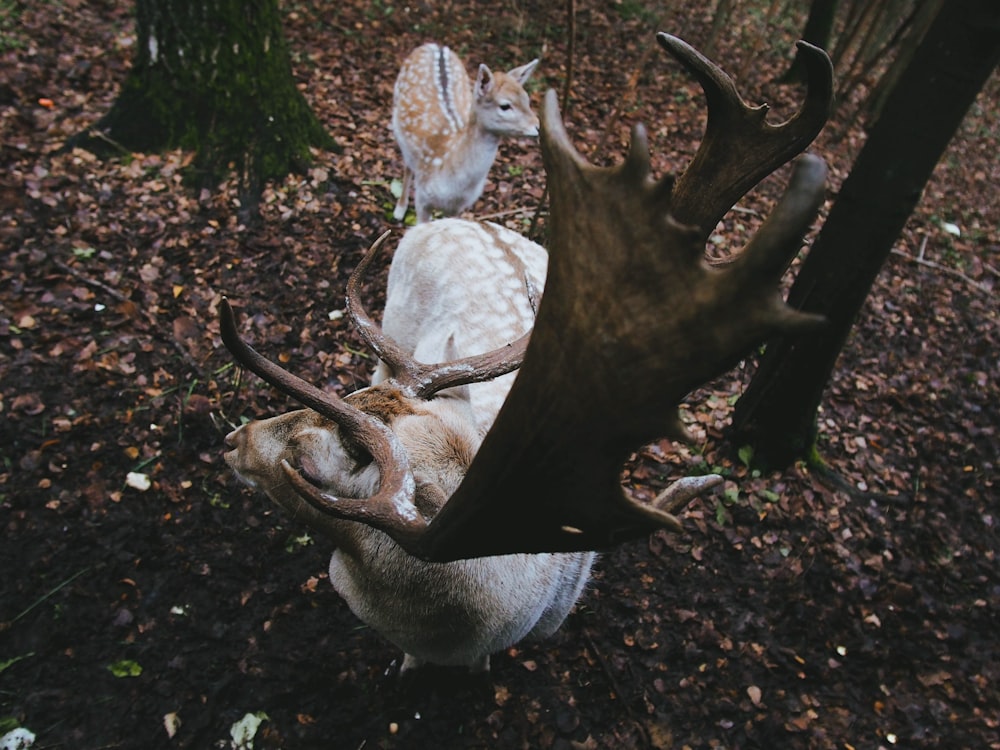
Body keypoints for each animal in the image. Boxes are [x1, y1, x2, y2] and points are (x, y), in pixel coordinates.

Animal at [390, 43, 540, 223]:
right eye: (505, 106)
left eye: (527, 100)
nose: (538, 126)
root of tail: (434, 45)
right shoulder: (422, 197)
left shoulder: (459, 207)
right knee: (407, 165)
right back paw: (399, 209)